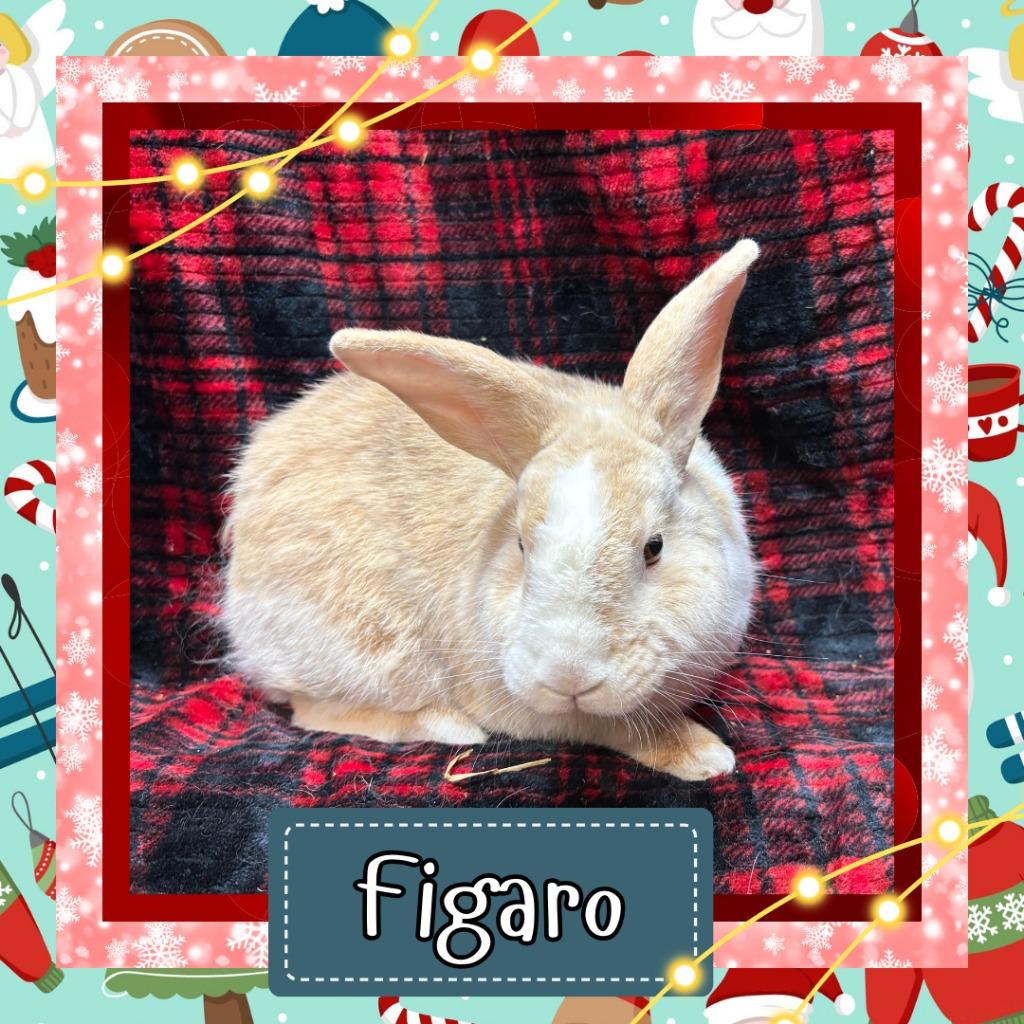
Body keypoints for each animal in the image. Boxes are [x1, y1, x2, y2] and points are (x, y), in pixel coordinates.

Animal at [221, 240, 759, 781]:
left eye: (654, 548)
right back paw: (448, 725)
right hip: (362, 656)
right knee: (309, 708)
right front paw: (704, 755)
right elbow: (623, 728)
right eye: (521, 546)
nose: (568, 677)